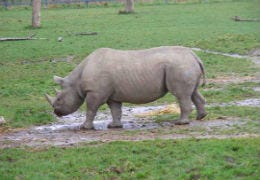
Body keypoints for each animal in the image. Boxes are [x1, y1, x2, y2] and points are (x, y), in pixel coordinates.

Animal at [45, 46, 207, 129]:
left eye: (59, 99)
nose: (56, 112)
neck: (76, 81)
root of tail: (194, 55)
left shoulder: (95, 93)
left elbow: (91, 109)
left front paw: (84, 127)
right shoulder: (111, 94)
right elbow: (115, 110)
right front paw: (114, 126)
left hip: (179, 66)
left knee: (182, 95)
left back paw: (180, 123)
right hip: (185, 65)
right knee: (193, 92)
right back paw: (200, 117)